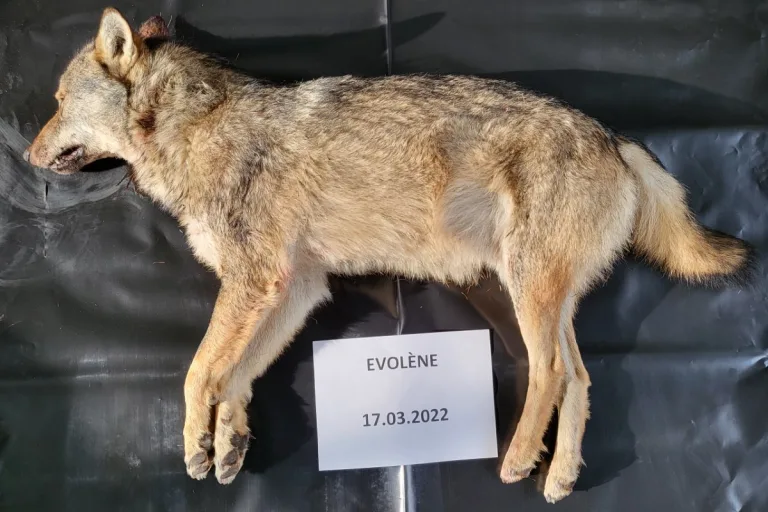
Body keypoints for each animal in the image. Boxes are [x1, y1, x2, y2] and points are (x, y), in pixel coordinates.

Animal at [24, 8, 754, 503]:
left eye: (57, 103)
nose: (26, 155)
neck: (193, 128)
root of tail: (614, 137)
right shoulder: (293, 288)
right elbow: (239, 374)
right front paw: (229, 443)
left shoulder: (254, 281)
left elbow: (198, 373)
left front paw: (195, 449)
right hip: (545, 297)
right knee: (580, 379)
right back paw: (561, 476)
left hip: (525, 292)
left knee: (548, 374)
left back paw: (519, 460)